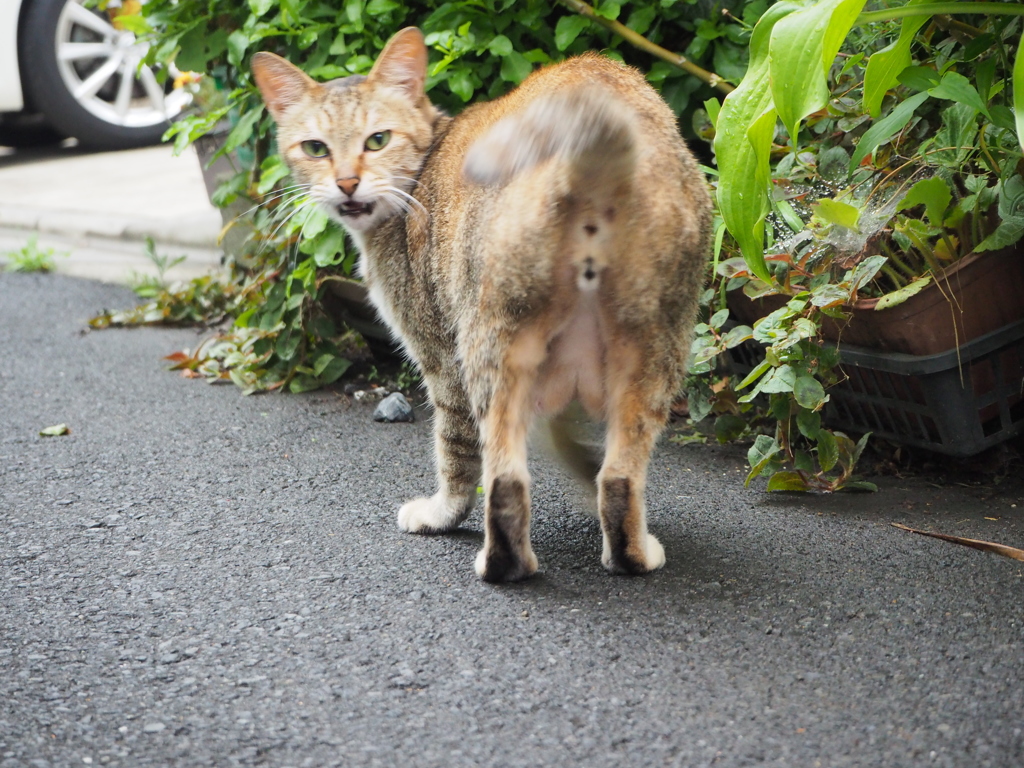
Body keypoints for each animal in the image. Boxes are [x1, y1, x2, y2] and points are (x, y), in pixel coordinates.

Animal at [251, 28, 708, 581]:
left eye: (377, 140)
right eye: (315, 148)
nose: (346, 183)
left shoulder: (441, 357)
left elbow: (455, 452)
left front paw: (441, 513)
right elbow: (569, 444)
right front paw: (582, 475)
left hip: (486, 347)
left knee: (503, 480)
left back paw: (501, 564)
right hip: (653, 353)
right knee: (619, 477)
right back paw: (632, 551)